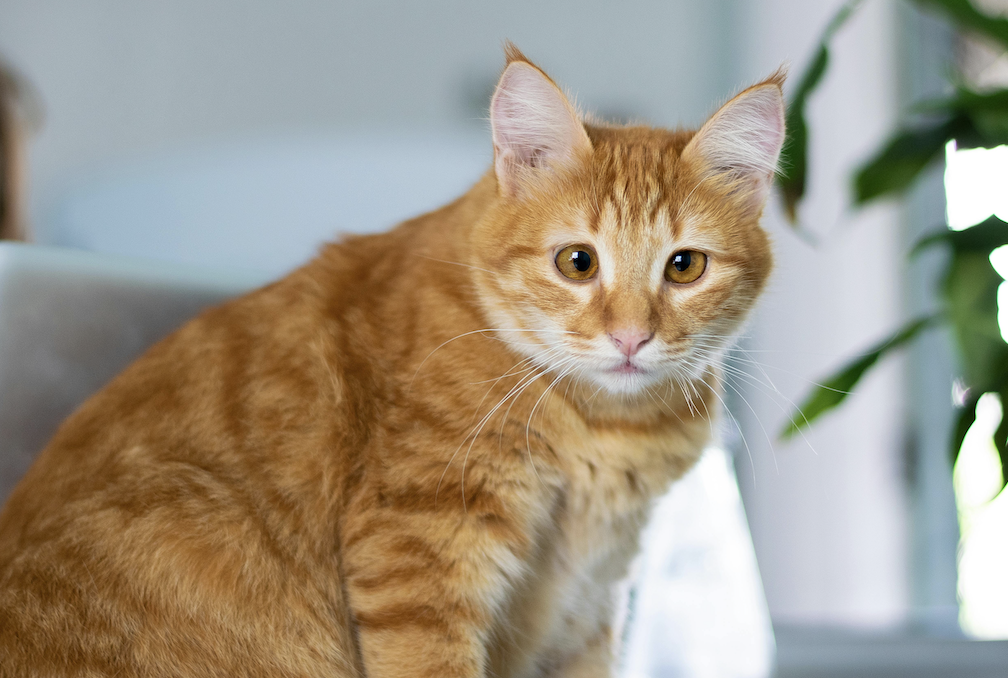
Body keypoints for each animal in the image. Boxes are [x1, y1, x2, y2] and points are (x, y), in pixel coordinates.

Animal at [0, 44, 782, 672]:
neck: (602, 430)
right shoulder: (419, 556)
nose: (630, 337)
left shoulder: (588, 605)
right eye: (577, 262)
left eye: (684, 267)